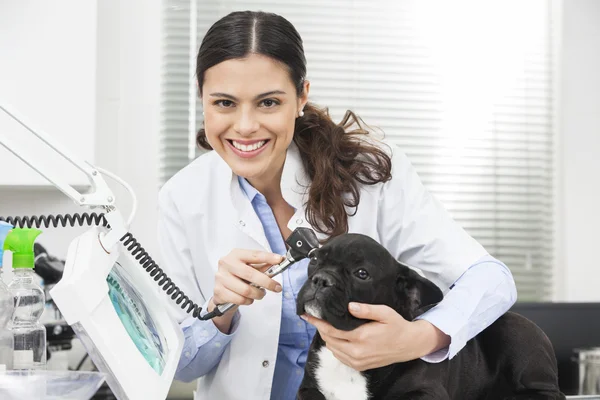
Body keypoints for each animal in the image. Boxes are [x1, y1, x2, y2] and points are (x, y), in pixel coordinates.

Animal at [296, 233, 568, 398]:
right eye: (314, 259)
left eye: (361, 274)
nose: (321, 279)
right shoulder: (308, 390)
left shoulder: (426, 392)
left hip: (518, 334)